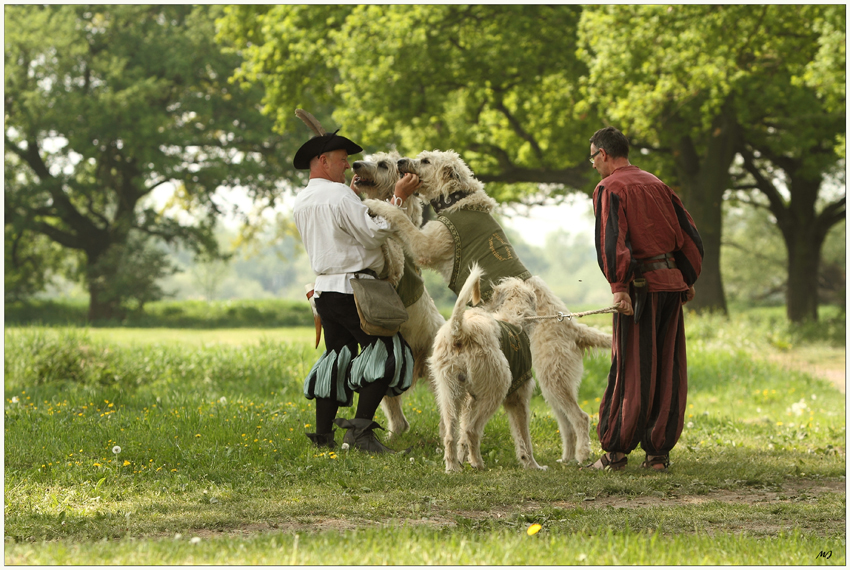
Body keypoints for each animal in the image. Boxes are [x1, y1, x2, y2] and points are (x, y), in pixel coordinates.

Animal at [350, 151, 448, 434]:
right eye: (368, 157)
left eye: (383, 165)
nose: (355, 164)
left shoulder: (397, 268)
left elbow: (392, 255)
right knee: (391, 404)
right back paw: (395, 432)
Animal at [430, 262, 544, 470]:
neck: (513, 316)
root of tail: (460, 331)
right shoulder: (518, 397)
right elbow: (524, 437)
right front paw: (532, 465)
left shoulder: (469, 401)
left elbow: (461, 437)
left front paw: (462, 458)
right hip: (496, 389)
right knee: (472, 430)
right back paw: (478, 464)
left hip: (449, 391)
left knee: (451, 434)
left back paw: (453, 467)